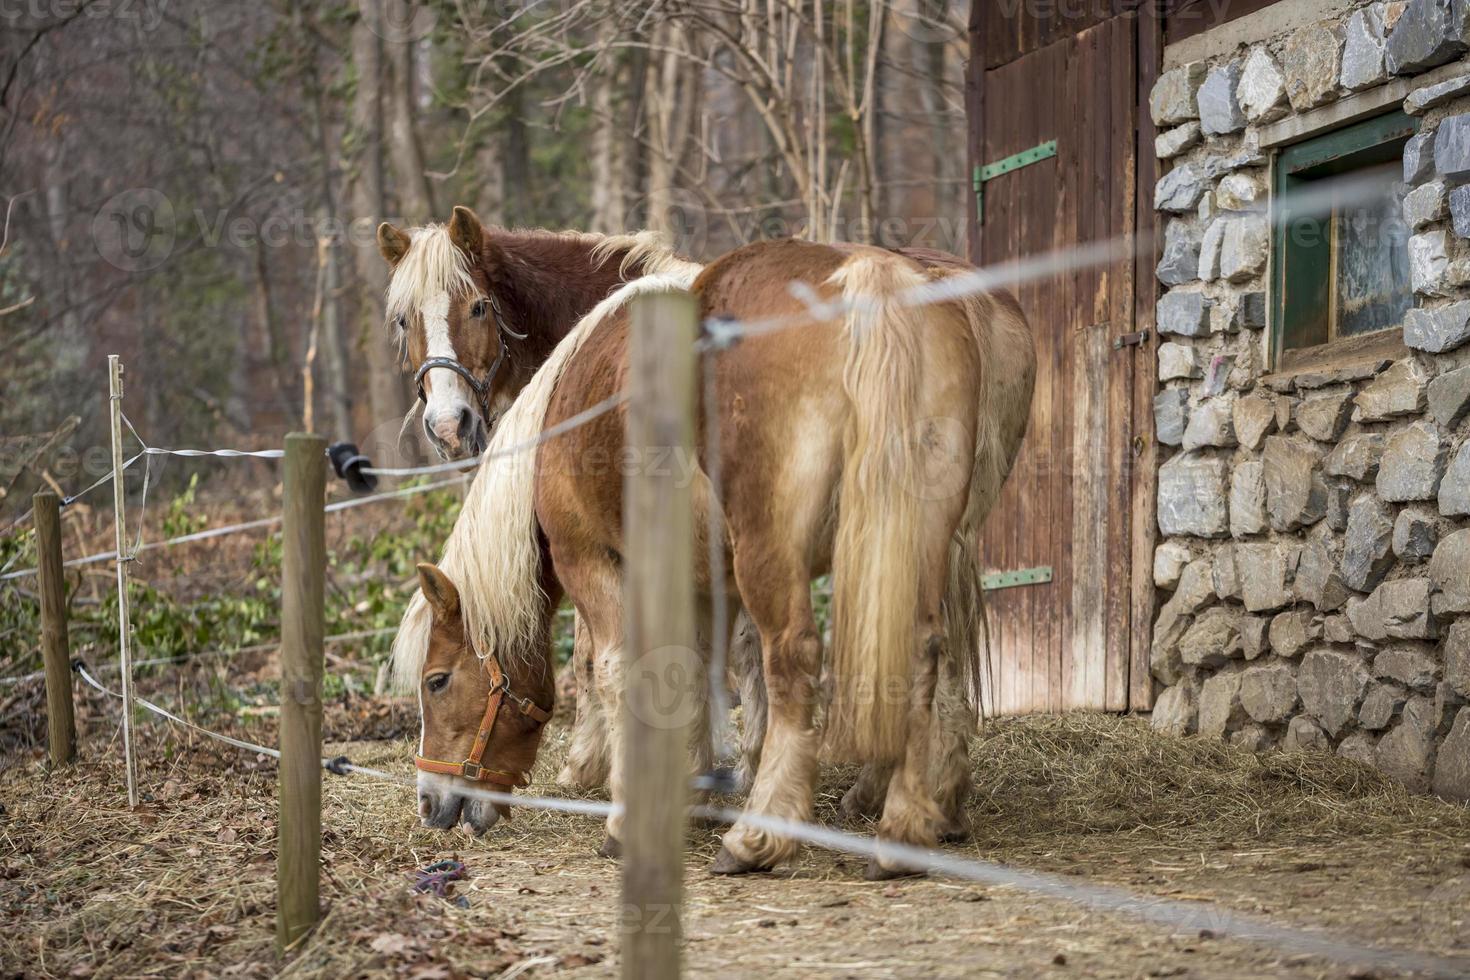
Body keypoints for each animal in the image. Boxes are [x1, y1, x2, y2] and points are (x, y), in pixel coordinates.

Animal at [391, 233, 1034, 875]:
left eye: (437, 681)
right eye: (405, 321)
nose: (429, 803)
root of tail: (875, 280)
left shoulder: (592, 558)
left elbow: (614, 668)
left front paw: (619, 799)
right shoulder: (702, 577)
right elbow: (694, 671)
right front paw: (695, 787)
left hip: (777, 551)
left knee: (795, 657)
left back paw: (763, 833)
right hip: (921, 541)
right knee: (925, 648)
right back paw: (909, 820)